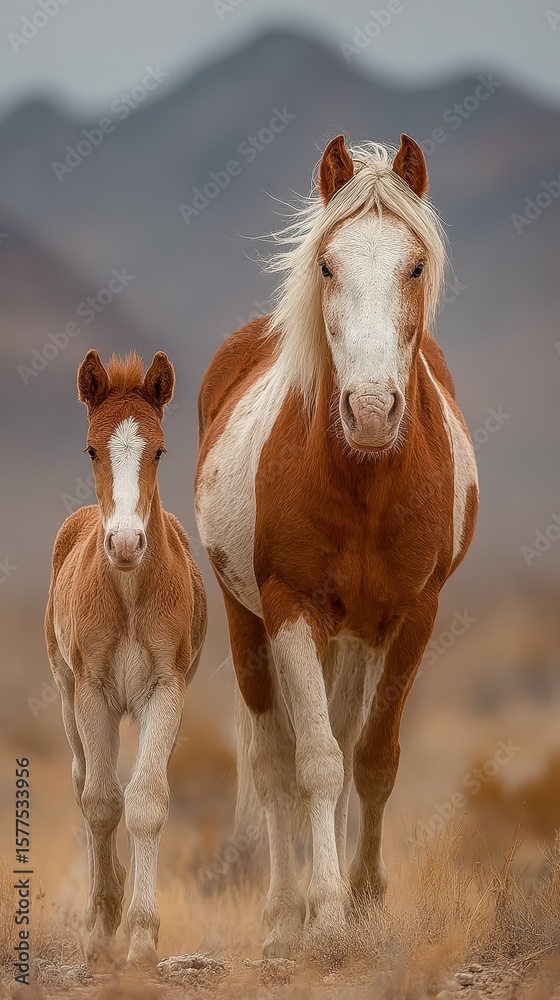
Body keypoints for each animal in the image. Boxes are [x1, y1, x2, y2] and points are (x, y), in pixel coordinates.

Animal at [45, 349, 207, 969]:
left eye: (159, 450)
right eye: (91, 448)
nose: (124, 544)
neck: (131, 594)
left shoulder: (166, 690)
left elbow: (146, 801)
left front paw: (140, 936)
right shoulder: (92, 690)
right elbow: (99, 802)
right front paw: (99, 929)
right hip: (69, 695)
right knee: (84, 782)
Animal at [195, 134, 478, 957]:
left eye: (413, 266)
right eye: (327, 265)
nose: (373, 411)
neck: (365, 482)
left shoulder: (414, 615)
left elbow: (373, 757)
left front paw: (365, 900)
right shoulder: (292, 610)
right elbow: (315, 762)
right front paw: (321, 914)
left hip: (355, 636)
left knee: (347, 739)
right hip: (248, 622)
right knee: (273, 761)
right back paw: (281, 918)